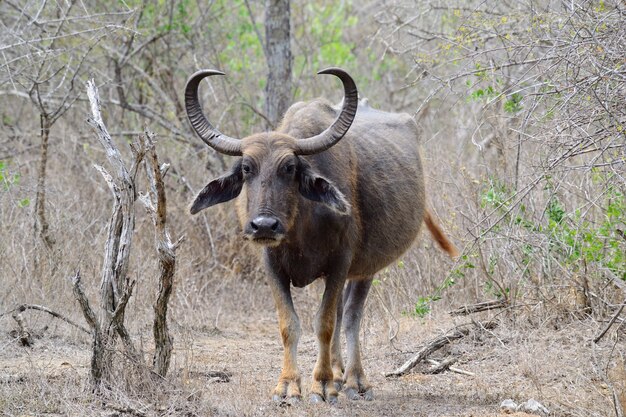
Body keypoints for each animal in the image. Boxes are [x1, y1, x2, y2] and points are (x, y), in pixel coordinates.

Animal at [183, 68, 456, 404]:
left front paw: (322, 384)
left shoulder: (340, 263)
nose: (264, 225)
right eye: (247, 168)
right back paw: (339, 373)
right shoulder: (272, 266)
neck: (301, 228)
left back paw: (353, 380)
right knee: (341, 314)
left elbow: (325, 323)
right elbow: (289, 324)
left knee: (350, 317)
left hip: (365, 269)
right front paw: (288, 385)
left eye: (289, 167)